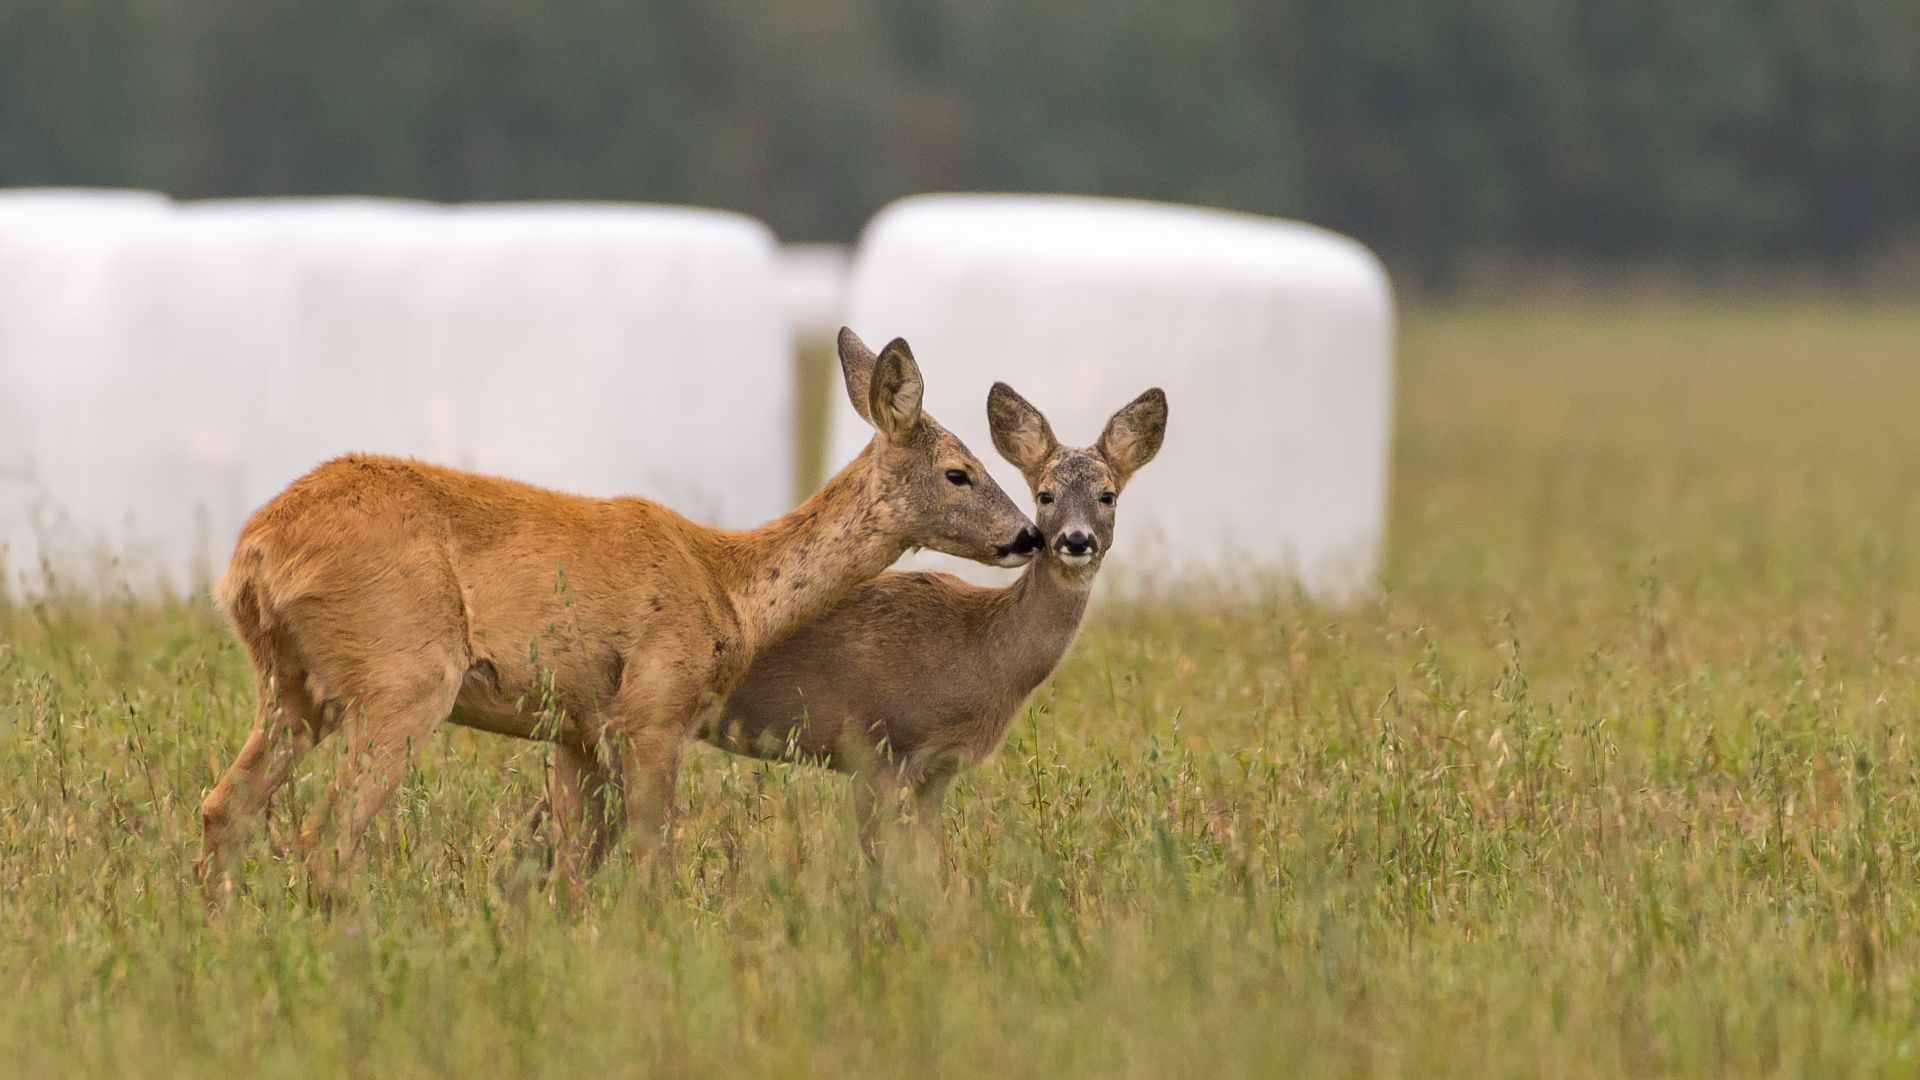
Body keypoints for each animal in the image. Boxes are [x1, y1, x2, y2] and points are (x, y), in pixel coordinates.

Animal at [195, 328, 1042, 896]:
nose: (1029, 535)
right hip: (403, 672)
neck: (730, 583)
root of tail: (257, 551)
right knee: (322, 832)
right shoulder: (654, 707)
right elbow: (650, 864)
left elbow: (572, 874)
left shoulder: (575, 727)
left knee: (221, 807)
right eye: (960, 472)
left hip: (293, 685)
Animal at [694, 382, 1166, 839]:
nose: (1076, 540)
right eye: (1045, 496)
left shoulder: (939, 768)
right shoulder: (880, 744)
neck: (979, 650)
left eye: (1108, 496)